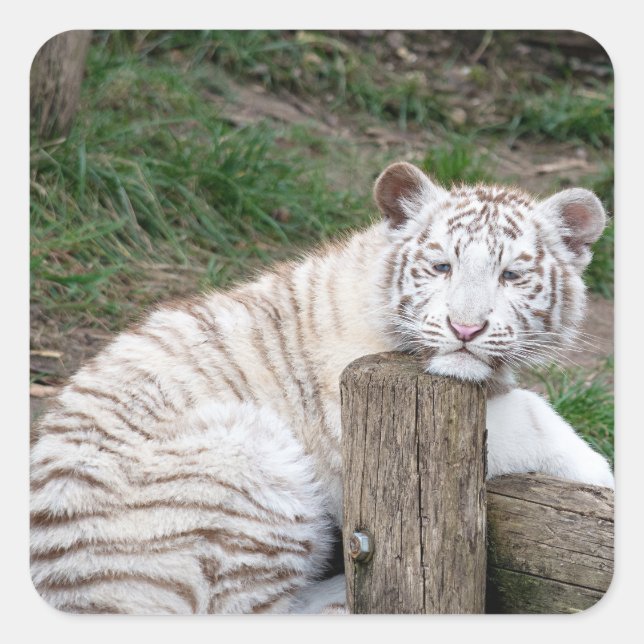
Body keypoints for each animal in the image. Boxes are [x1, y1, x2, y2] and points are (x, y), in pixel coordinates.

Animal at [30, 161, 614, 614]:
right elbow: (534, 416)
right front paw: (600, 480)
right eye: (441, 266)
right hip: (249, 465)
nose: (465, 329)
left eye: (512, 275)